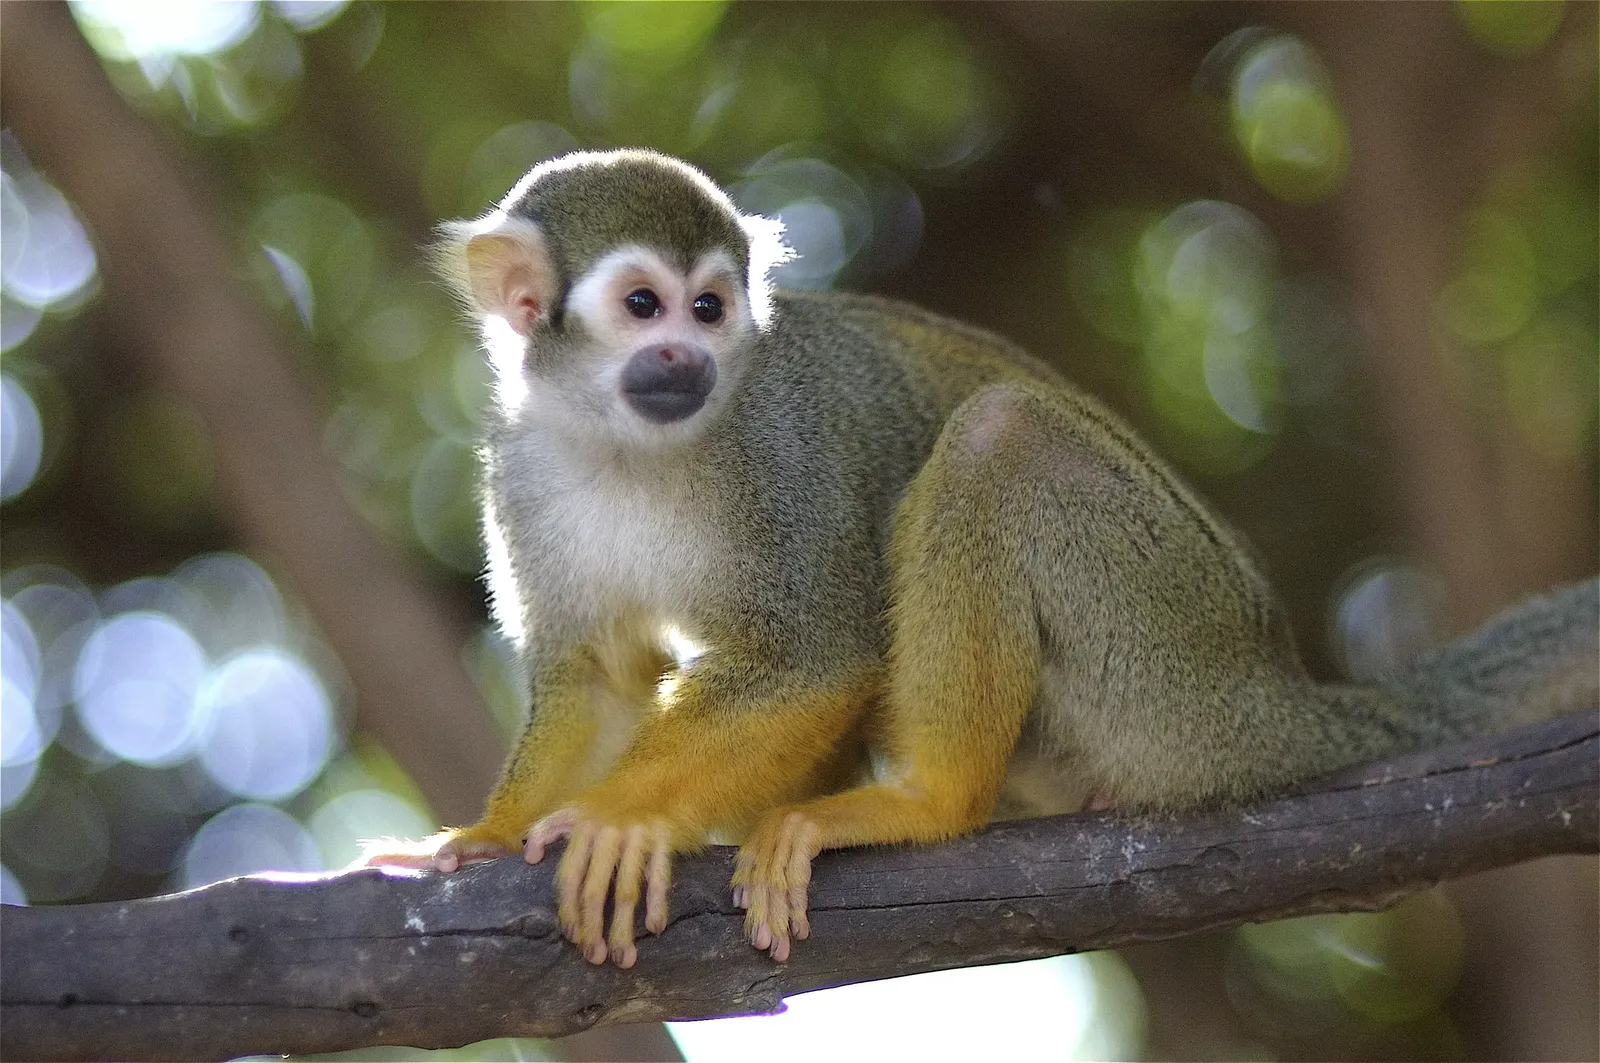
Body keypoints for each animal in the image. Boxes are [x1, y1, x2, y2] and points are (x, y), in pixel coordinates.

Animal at [362, 148, 1600, 969]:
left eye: (710, 309)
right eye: (640, 306)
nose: (686, 358)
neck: (625, 438)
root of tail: (1280, 691)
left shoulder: (779, 445)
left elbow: (815, 655)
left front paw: (624, 819)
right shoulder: (520, 468)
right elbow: (598, 682)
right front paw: (486, 835)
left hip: (1171, 660)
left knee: (1000, 440)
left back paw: (927, 801)